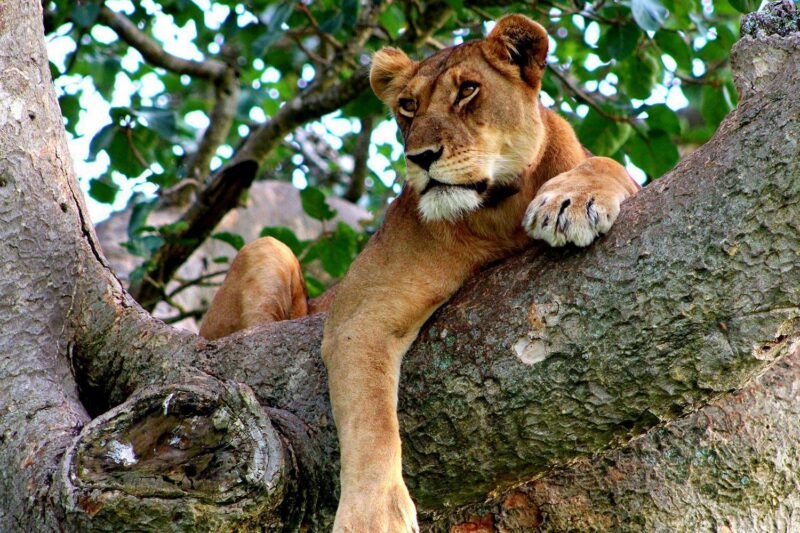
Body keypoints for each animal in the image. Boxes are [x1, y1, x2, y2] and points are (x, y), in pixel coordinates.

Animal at [200, 14, 639, 532]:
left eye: (468, 90)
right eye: (408, 106)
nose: (421, 157)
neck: (499, 211)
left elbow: (608, 165)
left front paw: (570, 200)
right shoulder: (360, 317)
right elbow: (371, 422)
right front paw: (372, 518)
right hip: (267, 248)